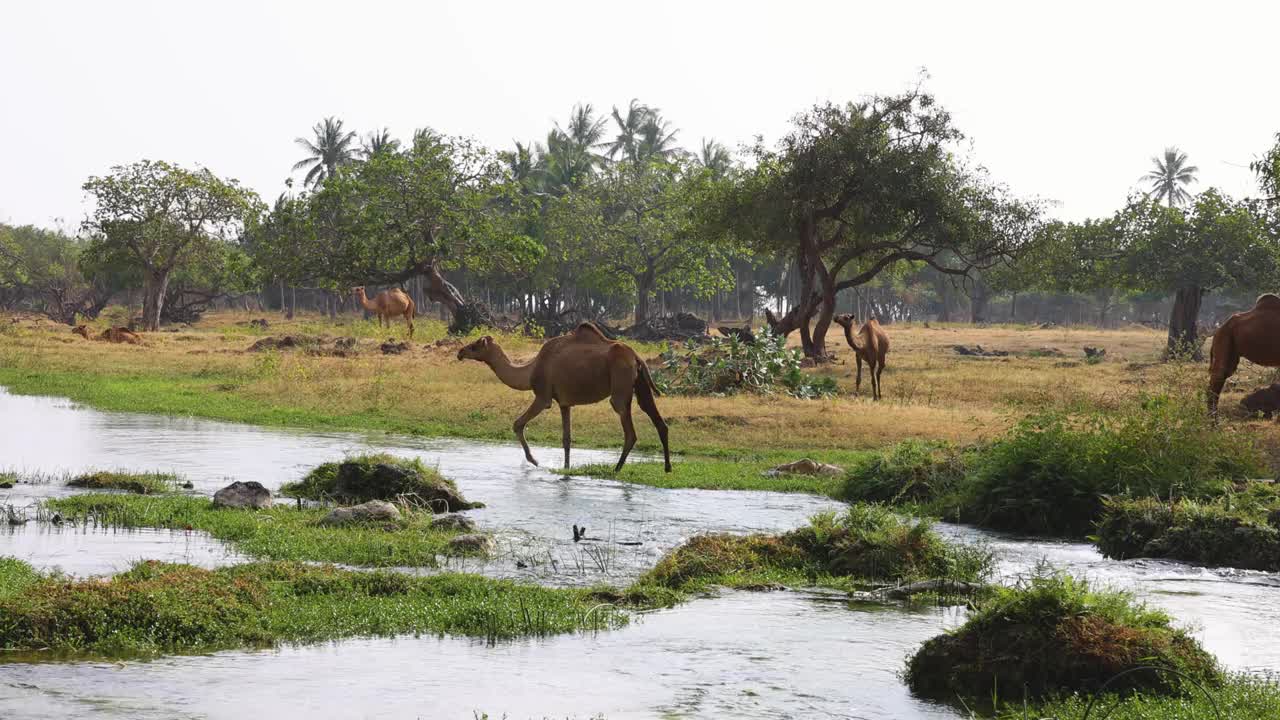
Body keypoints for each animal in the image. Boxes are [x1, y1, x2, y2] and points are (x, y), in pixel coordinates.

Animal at [458, 320, 675, 471]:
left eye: (475, 346)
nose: (460, 352)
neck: (531, 370)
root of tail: (636, 357)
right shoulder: (564, 402)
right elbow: (566, 439)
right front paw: (566, 468)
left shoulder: (543, 396)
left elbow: (518, 424)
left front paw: (534, 461)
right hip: (641, 384)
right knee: (656, 418)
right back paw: (667, 467)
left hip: (621, 383)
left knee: (629, 429)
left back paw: (617, 468)